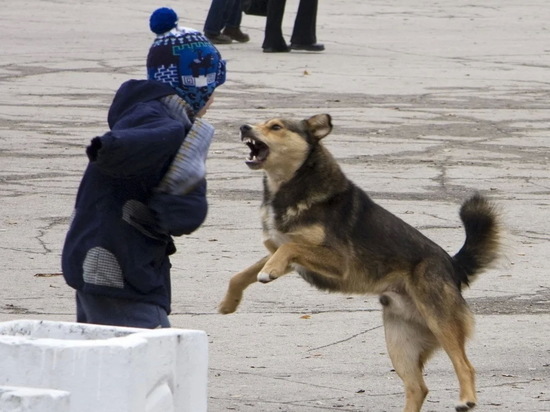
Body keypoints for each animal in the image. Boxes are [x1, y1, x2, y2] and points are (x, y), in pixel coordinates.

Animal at [218, 113, 502, 412]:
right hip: (400, 341)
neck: (291, 185)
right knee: (418, 387)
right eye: (261, 122)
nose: (244, 127)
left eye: (276, 127)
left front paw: (268, 272)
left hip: (439, 320)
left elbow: (289, 246)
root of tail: (452, 265)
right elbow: (242, 273)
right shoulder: (284, 254)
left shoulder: (337, 260)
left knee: (465, 365)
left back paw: (466, 398)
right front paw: (229, 302)